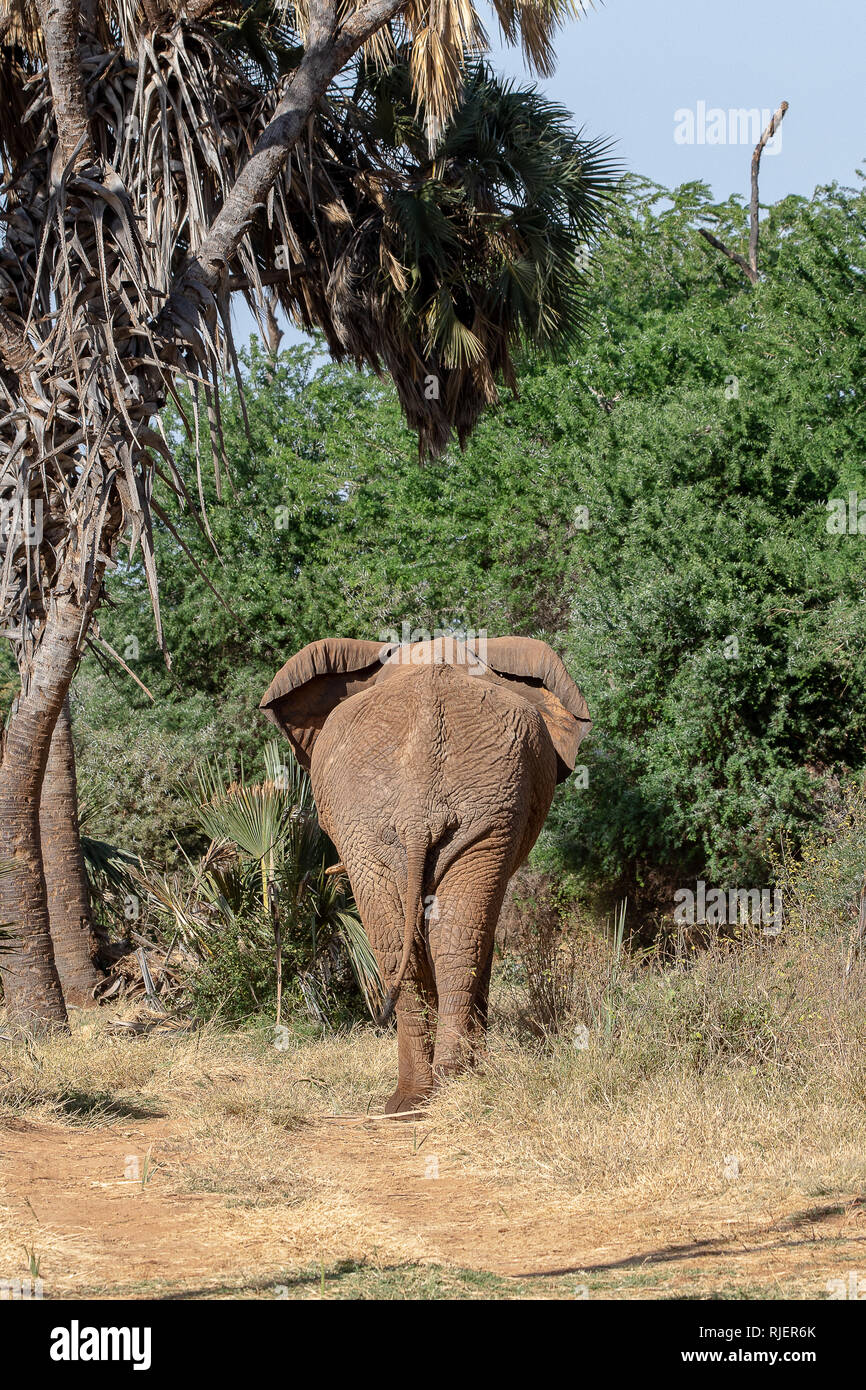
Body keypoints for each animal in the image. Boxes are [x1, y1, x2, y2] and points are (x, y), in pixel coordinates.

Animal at [261, 636, 592, 1112]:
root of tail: (418, 809)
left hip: (470, 811)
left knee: (435, 936)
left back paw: (430, 1091)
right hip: (399, 820)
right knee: (443, 936)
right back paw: (432, 1089)